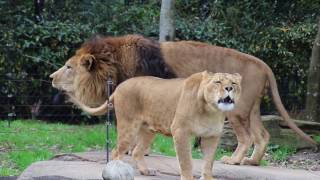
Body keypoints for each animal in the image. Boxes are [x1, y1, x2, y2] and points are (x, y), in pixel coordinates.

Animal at [50, 34, 318, 166]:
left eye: (68, 67)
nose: (51, 77)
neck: (113, 63)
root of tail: (262, 63)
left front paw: (135, 152)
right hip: (251, 108)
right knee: (263, 135)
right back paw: (251, 162)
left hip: (236, 110)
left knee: (247, 137)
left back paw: (234, 160)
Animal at [79, 71, 241, 179]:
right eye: (218, 82)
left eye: (234, 83)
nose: (229, 88)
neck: (212, 111)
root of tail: (119, 86)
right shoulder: (181, 131)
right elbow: (186, 161)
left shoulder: (212, 137)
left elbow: (208, 162)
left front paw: (207, 178)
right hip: (128, 127)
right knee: (116, 152)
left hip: (148, 131)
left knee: (136, 151)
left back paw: (146, 171)